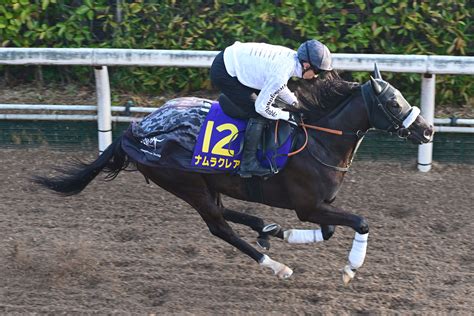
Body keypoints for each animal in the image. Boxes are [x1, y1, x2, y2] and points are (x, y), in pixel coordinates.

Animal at [34, 65, 434, 286]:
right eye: (393, 102)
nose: (428, 130)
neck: (320, 139)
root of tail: (134, 131)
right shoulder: (308, 206)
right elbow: (359, 222)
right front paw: (350, 269)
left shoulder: (318, 206)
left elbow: (331, 230)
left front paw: (289, 233)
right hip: (187, 184)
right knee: (219, 226)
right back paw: (276, 266)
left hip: (207, 183)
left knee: (226, 212)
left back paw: (268, 229)